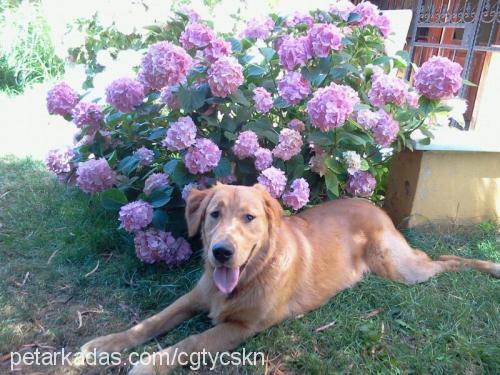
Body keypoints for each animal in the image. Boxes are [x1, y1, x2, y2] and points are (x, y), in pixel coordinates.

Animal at [80, 184, 498, 374]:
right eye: (215, 214)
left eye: (249, 218)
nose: (221, 252)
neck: (251, 274)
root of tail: (374, 206)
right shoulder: (194, 297)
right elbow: (150, 322)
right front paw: (103, 345)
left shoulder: (241, 327)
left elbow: (190, 342)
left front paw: (149, 364)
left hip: (403, 269)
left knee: (442, 260)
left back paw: (488, 265)